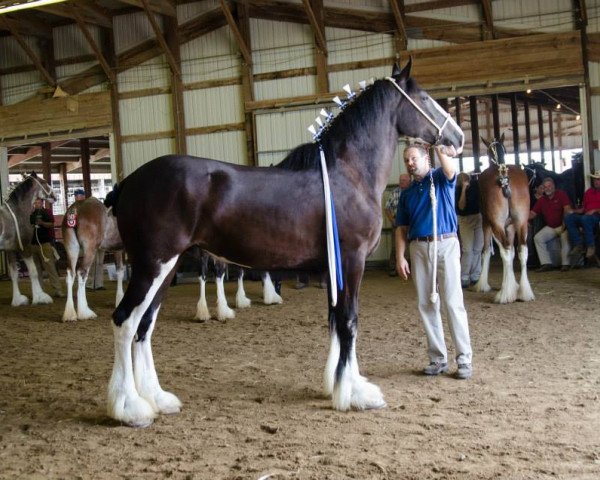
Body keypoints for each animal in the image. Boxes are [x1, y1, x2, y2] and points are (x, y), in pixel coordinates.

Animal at [0, 174, 56, 306]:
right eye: (44, 182)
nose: (54, 196)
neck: (16, 213)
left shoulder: (10, 250)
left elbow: (14, 274)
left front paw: (17, 300)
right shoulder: (25, 248)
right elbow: (33, 272)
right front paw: (40, 297)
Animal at [103, 61, 464, 428]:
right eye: (424, 97)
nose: (458, 138)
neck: (348, 173)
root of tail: (128, 183)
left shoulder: (334, 267)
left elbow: (336, 319)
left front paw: (336, 385)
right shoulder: (352, 261)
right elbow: (349, 321)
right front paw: (354, 394)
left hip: (167, 267)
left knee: (144, 326)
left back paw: (157, 399)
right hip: (152, 265)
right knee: (124, 321)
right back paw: (130, 408)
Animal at [474, 133, 536, 302]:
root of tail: (503, 178)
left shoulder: (487, 223)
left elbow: (486, 251)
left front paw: (482, 285)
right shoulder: (511, 226)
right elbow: (514, 251)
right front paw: (514, 285)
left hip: (496, 223)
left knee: (506, 251)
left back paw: (504, 294)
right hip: (521, 222)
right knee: (522, 250)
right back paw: (524, 292)